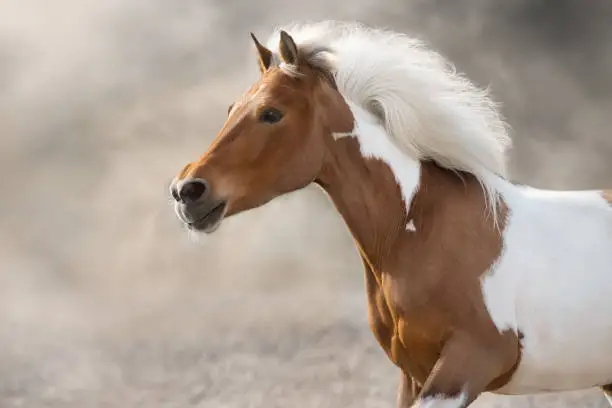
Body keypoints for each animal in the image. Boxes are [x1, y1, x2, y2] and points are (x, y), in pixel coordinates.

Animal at [170, 20, 612, 406]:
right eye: (231, 108)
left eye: (272, 113)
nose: (186, 191)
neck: (420, 232)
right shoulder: (413, 375)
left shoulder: (465, 366)